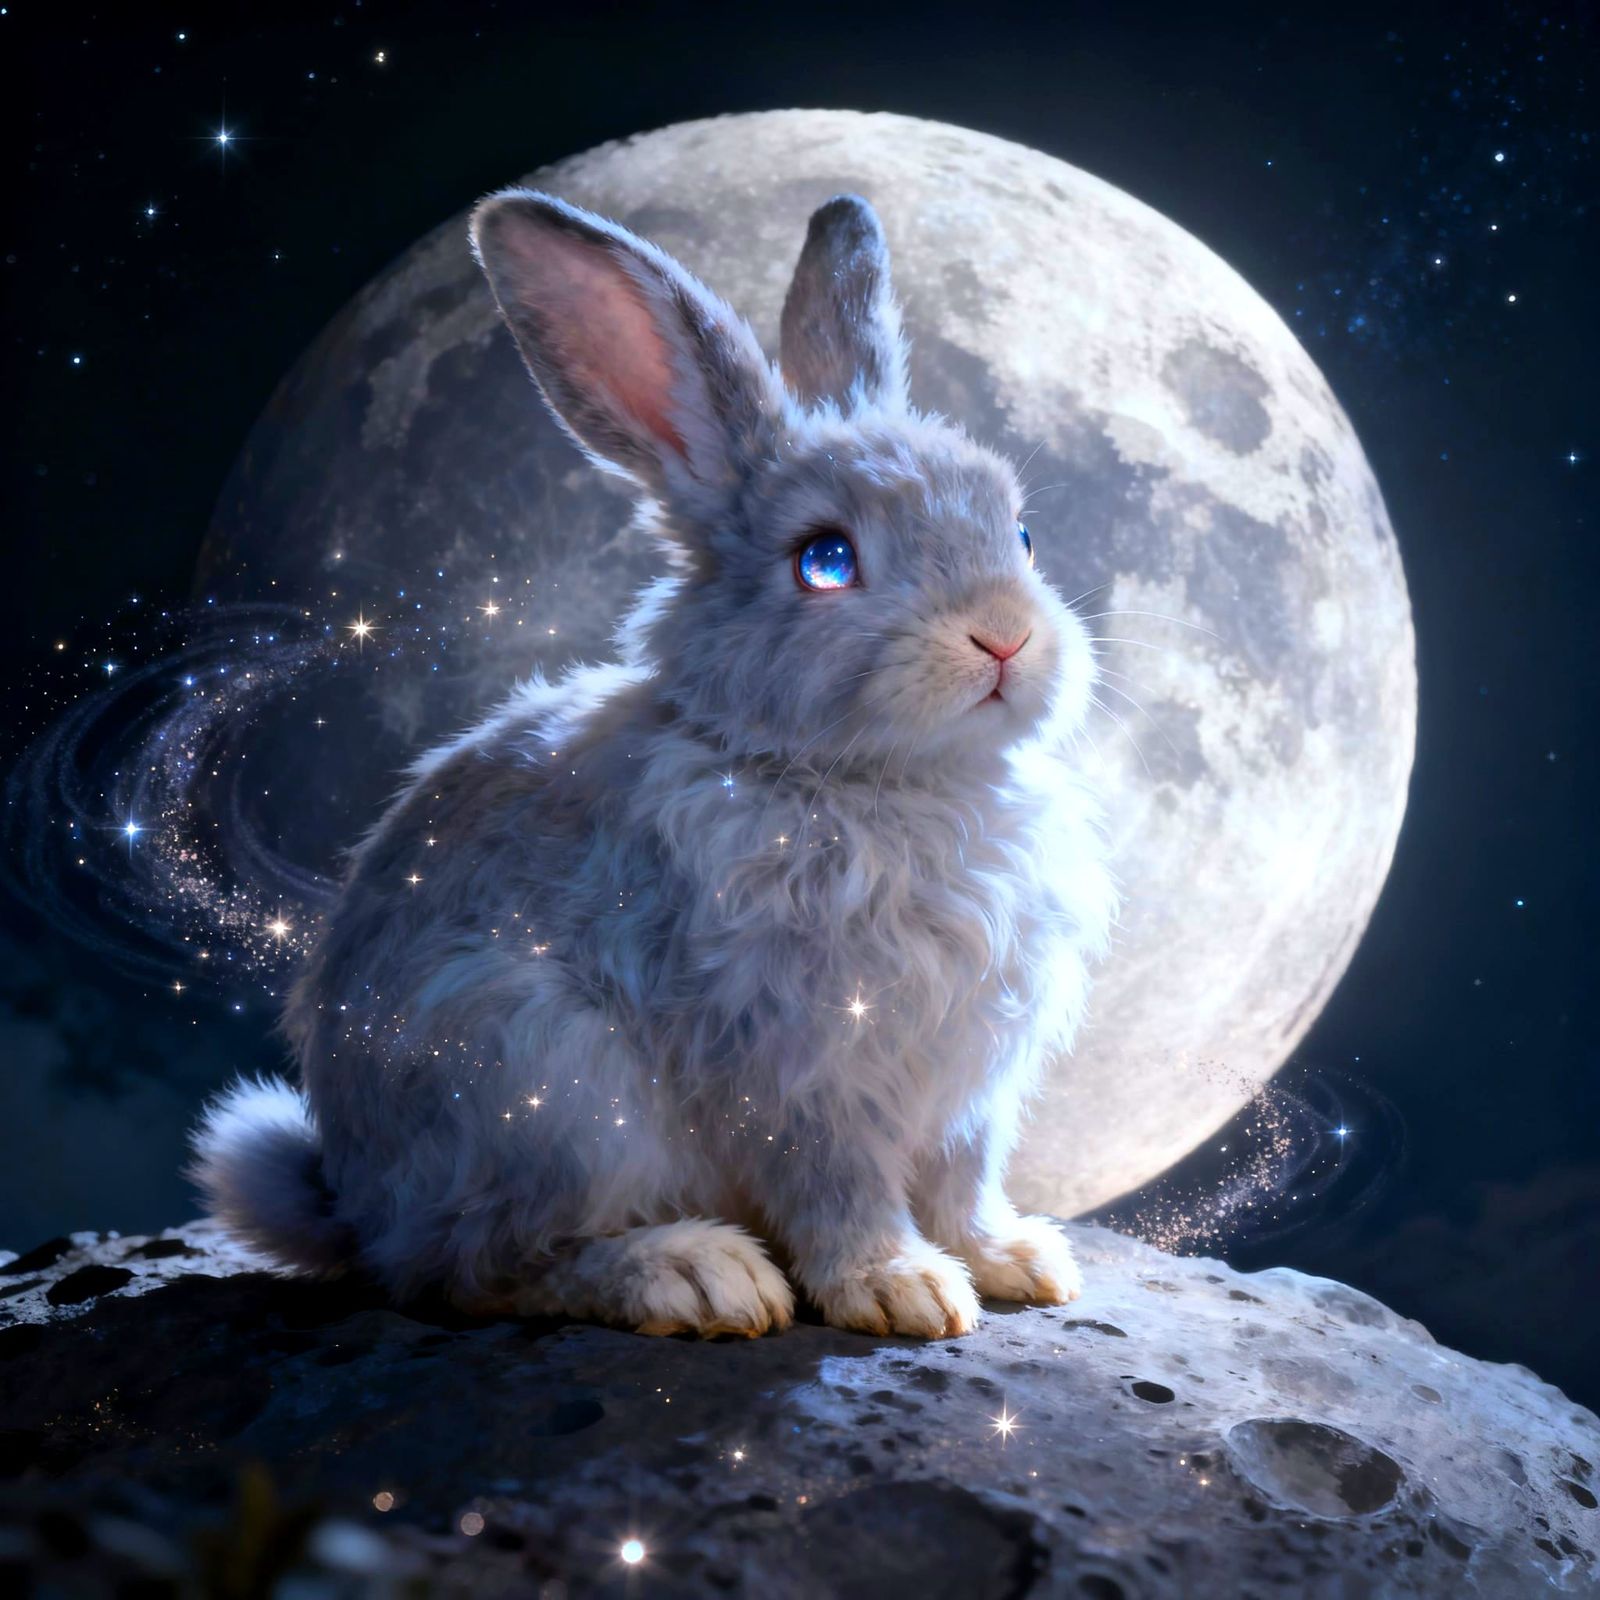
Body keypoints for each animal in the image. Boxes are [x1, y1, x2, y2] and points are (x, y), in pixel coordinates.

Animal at [191, 187, 1117, 1340]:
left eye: (1022, 534)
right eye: (825, 560)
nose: (1004, 637)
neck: (881, 781)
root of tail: (358, 1205)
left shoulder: (967, 1095)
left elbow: (963, 1180)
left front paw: (1016, 1262)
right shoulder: (793, 1065)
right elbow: (840, 1186)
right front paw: (902, 1291)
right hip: (546, 1086)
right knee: (470, 1269)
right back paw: (695, 1276)